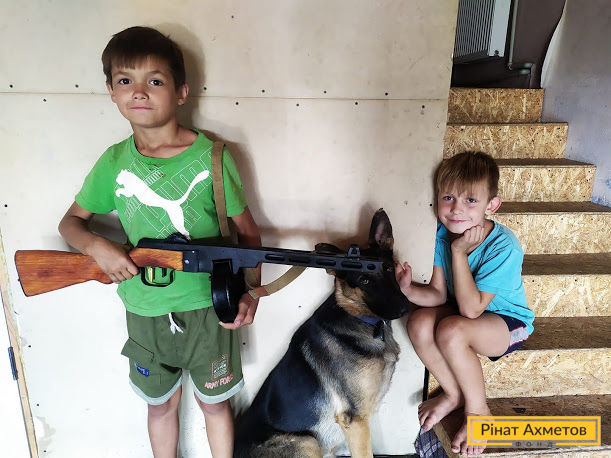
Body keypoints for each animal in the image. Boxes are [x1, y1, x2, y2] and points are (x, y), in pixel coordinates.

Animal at [234, 209, 411, 457]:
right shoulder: (356, 420)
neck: (358, 317)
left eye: (389, 269)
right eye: (365, 280)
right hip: (308, 442)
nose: (406, 308)